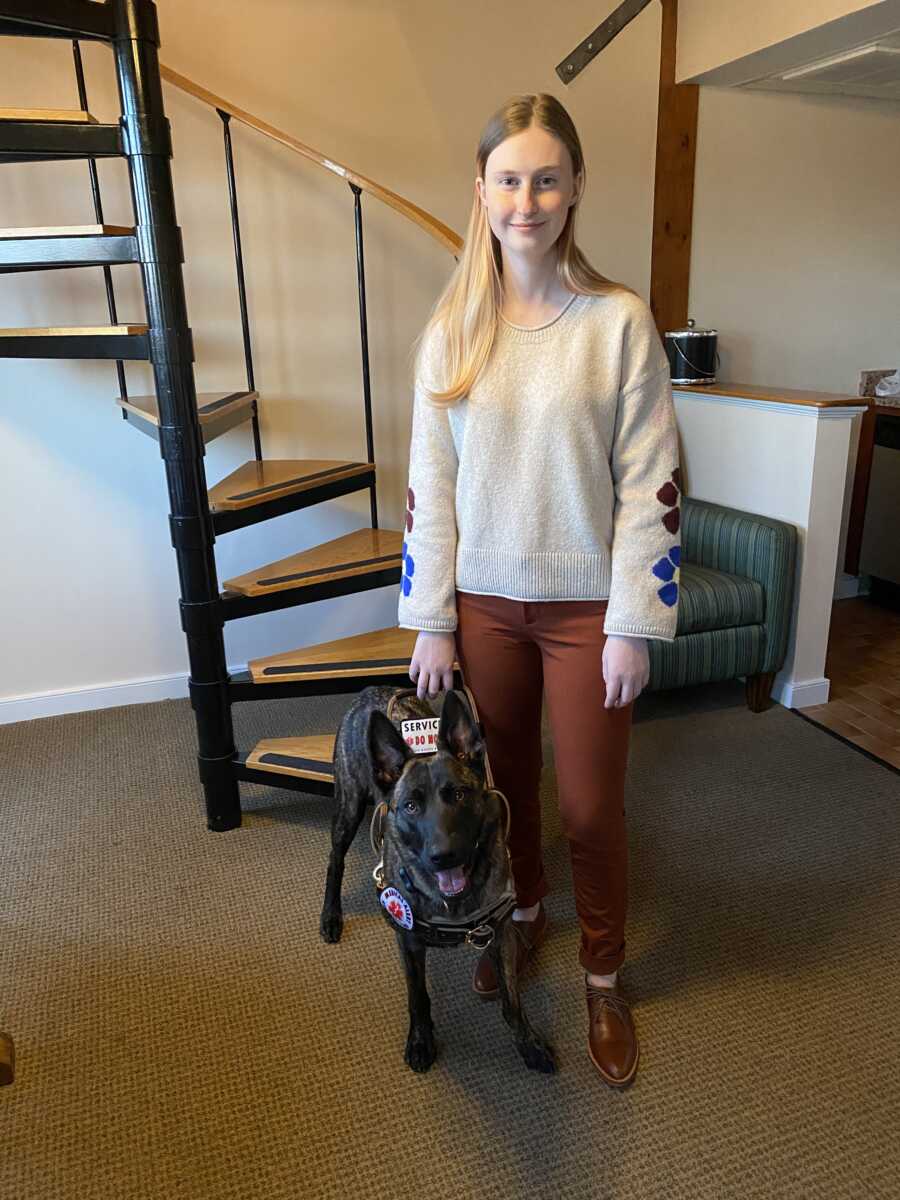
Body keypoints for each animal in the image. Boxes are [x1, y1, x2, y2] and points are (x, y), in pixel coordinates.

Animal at [316, 686, 556, 1080]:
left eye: (458, 794)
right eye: (411, 806)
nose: (443, 856)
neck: (454, 902)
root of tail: (370, 691)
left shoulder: (501, 933)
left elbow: (512, 1000)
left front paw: (529, 1044)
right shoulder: (408, 941)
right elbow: (419, 998)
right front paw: (420, 1041)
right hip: (348, 806)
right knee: (335, 861)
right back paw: (331, 916)